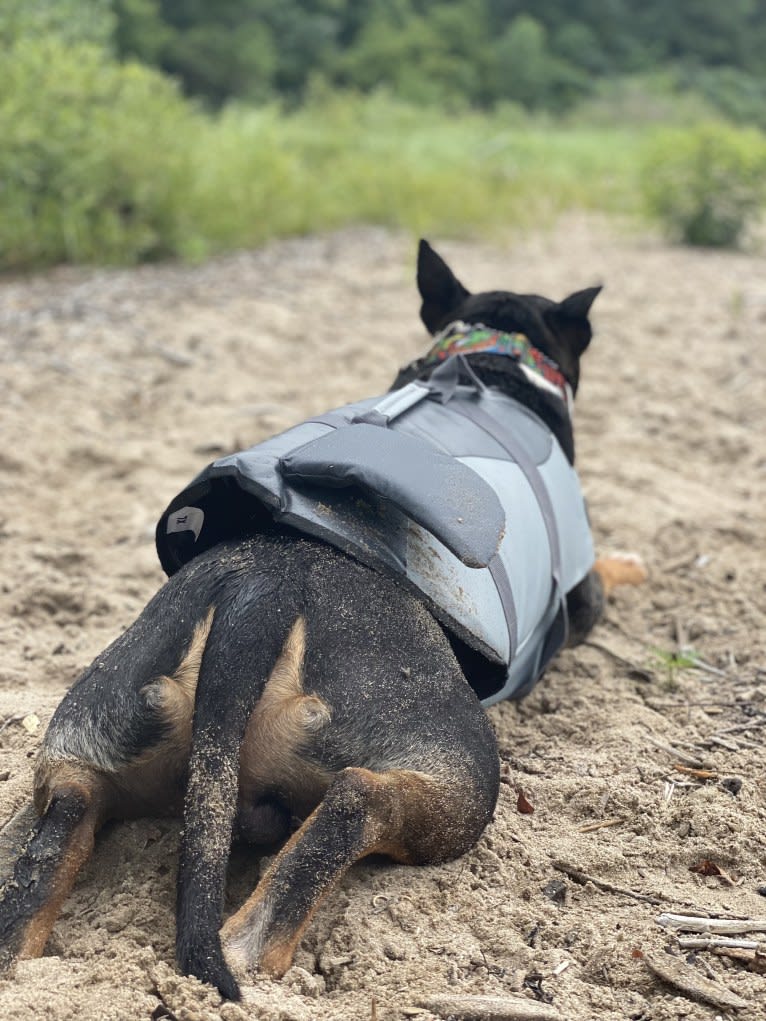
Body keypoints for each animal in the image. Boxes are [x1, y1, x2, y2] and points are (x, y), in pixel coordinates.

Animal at [0, 238, 649, 996]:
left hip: (86, 748)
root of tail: (262, 586)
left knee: (61, 827)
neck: (489, 356)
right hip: (458, 783)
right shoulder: (582, 596)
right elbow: (608, 578)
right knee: (344, 814)